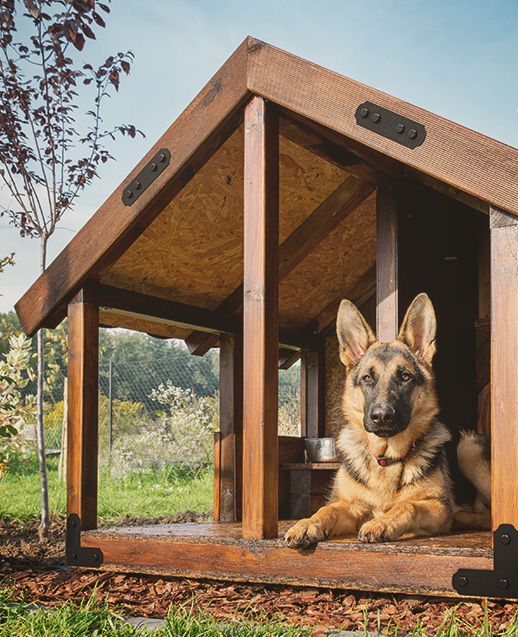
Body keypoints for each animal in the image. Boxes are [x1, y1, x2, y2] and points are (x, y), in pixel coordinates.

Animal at [286, 294, 494, 548]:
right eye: (367, 378)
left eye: (405, 377)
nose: (382, 416)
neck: (385, 458)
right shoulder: (350, 505)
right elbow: (328, 510)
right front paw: (306, 523)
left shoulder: (436, 505)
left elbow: (408, 505)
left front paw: (382, 522)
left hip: (469, 448)